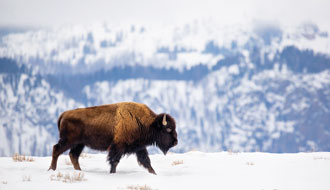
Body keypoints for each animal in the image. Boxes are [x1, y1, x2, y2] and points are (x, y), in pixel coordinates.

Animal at [47, 101, 178, 174]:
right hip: (68, 141)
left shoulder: (139, 148)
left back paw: (79, 171)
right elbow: (114, 161)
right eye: (168, 129)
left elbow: (146, 161)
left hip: (79, 144)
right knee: (56, 149)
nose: (176, 142)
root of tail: (64, 114)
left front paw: (154, 174)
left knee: (73, 155)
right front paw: (112, 173)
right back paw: (52, 169)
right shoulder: (117, 147)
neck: (146, 123)